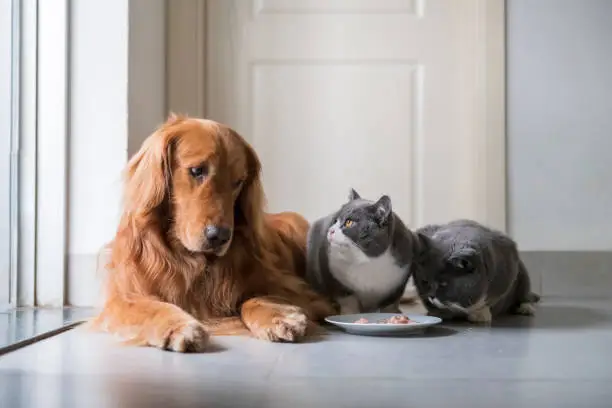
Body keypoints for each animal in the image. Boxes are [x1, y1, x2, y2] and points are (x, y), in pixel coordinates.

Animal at [412, 218, 540, 324]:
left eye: (443, 284)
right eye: (425, 282)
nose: (432, 296)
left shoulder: (508, 266)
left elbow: (490, 299)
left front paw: (480, 314)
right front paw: (439, 313)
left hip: (523, 274)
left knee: (524, 295)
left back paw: (526, 308)